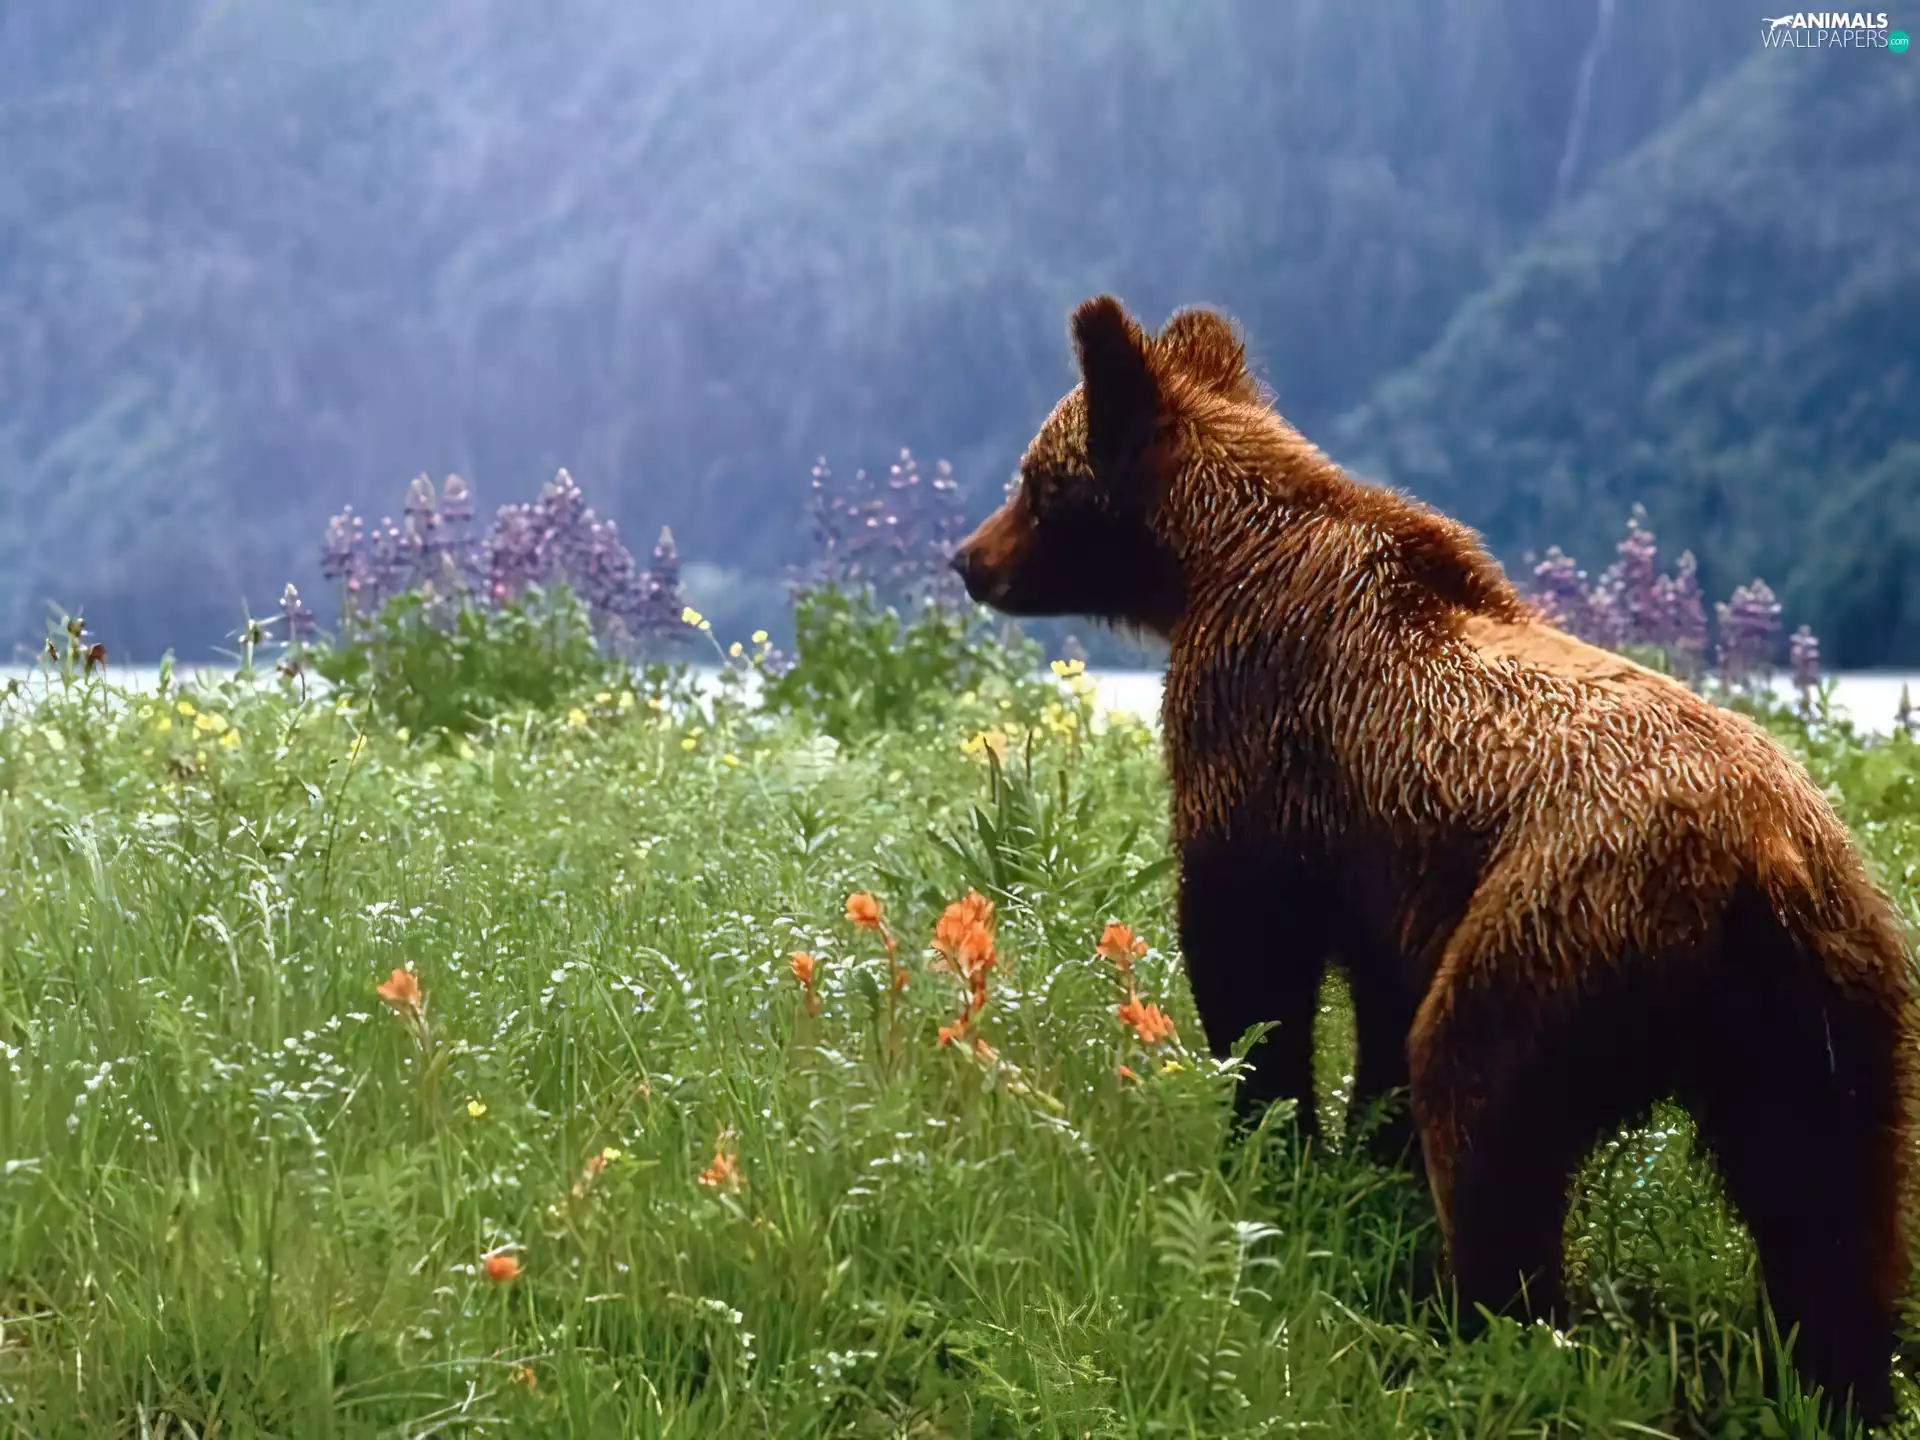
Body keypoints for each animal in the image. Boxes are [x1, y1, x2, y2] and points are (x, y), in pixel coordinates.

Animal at [950, 293, 1919, 1425]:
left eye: (1032, 479)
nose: (968, 557)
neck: (1214, 563)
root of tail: (1764, 861)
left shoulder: (1258, 728)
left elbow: (1249, 957)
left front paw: (1270, 1140)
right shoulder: (1396, 866)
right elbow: (1373, 1010)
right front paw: (1362, 1168)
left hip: (1568, 926)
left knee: (1482, 1097)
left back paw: (1474, 1328)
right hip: (1832, 995)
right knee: (1830, 1196)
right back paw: (1839, 1379)